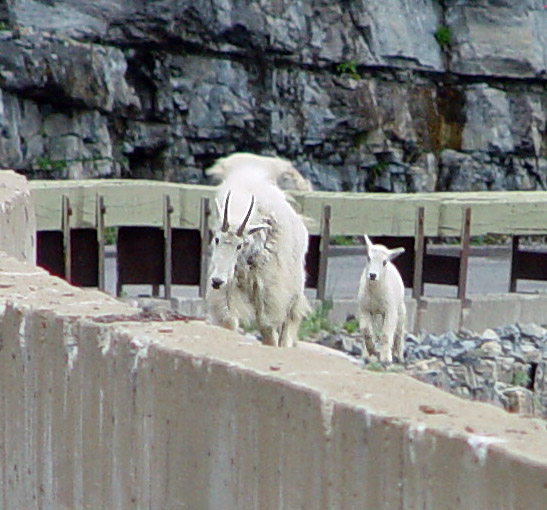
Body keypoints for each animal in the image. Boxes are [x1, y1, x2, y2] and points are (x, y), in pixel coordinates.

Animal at [206, 159, 310, 348]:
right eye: (216, 239)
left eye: (239, 246)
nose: (216, 281)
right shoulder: (231, 282)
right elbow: (228, 319)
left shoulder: (269, 287)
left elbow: (267, 325)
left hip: (293, 285)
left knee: (289, 319)